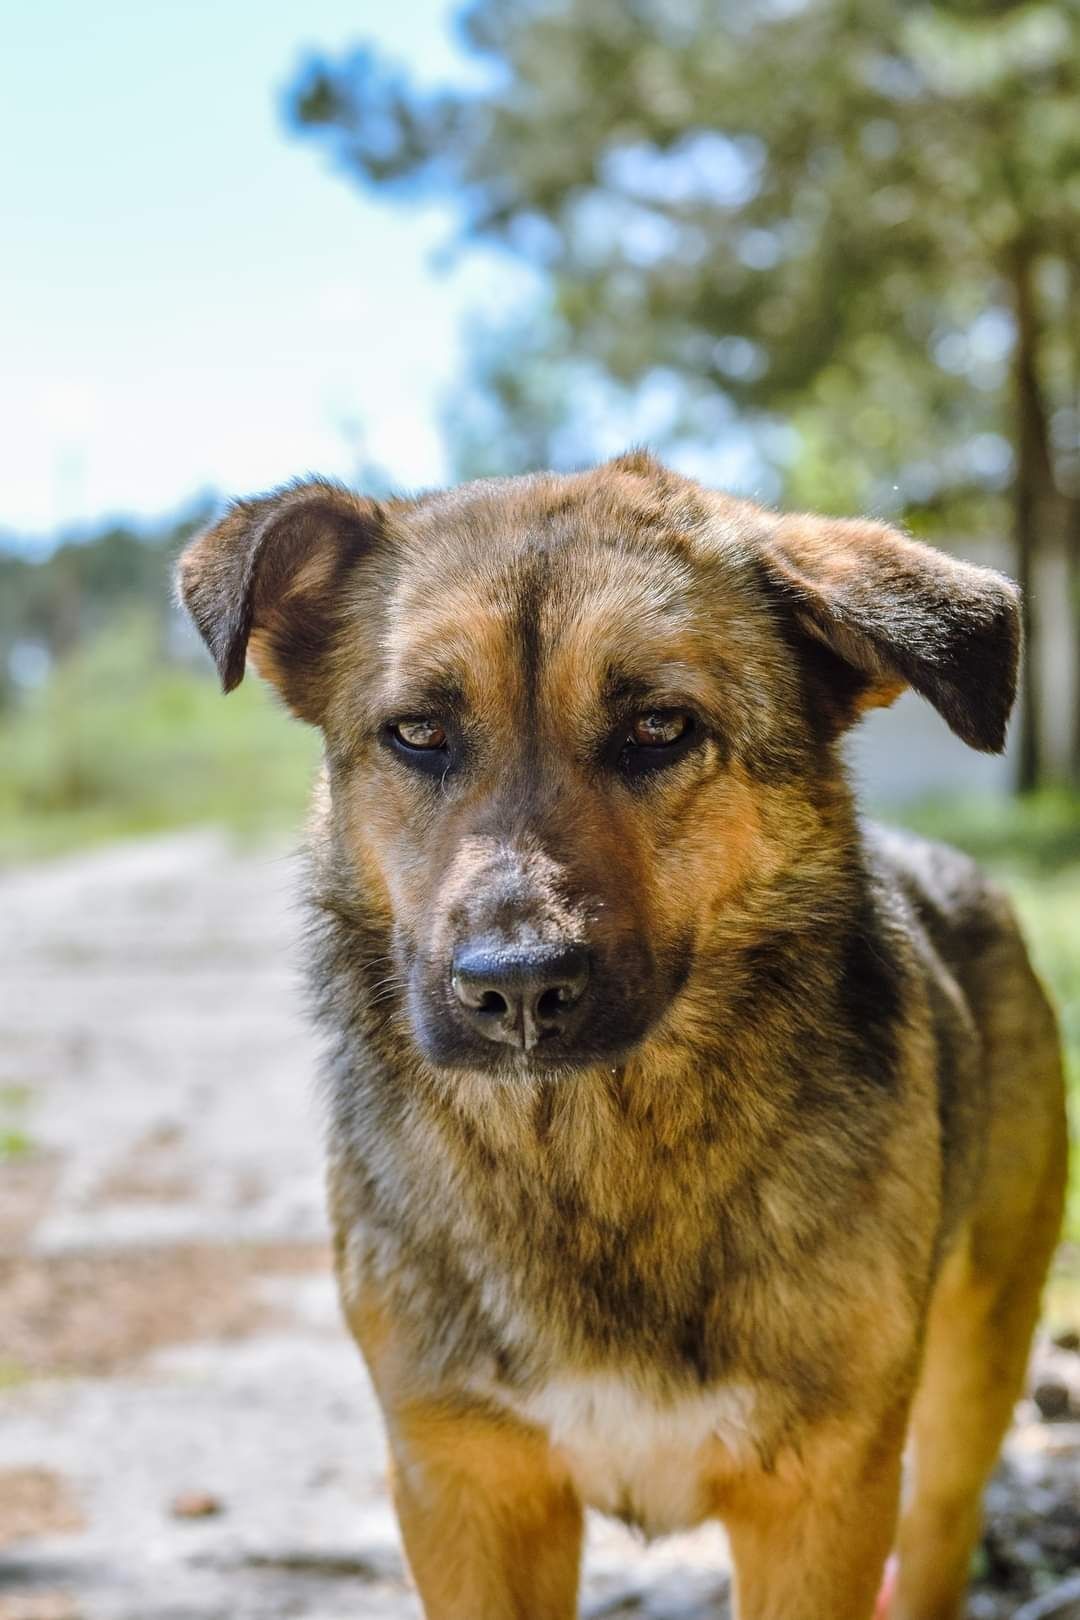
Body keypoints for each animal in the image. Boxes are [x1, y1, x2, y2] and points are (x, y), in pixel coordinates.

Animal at [181, 453, 1068, 1620]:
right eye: (417, 732)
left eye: (659, 728)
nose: (515, 988)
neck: (592, 1155)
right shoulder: (464, 1489)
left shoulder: (819, 1501)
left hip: (972, 1377)